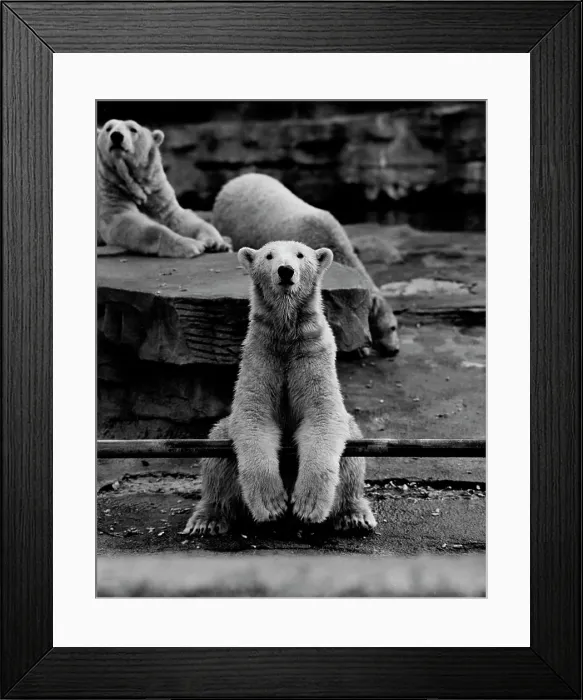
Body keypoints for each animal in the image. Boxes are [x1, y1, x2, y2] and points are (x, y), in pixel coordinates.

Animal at [97, 119, 232, 258]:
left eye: (133, 129)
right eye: (108, 128)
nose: (116, 136)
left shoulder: (156, 189)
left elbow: (177, 216)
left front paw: (217, 243)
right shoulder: (111, 189)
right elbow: (125, 221)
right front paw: (191, 244)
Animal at [182, 240, 377, 535]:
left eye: (300, 255)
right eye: (269, 256)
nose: (286, 270)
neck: (286, 335)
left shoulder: (312, 352)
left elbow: (322, 415)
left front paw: (307, 504)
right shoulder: (260, 353)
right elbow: (253, 415)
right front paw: (272, 503)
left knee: (353, 450)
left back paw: (354, 515)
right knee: (217, 450)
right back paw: (207, 519)